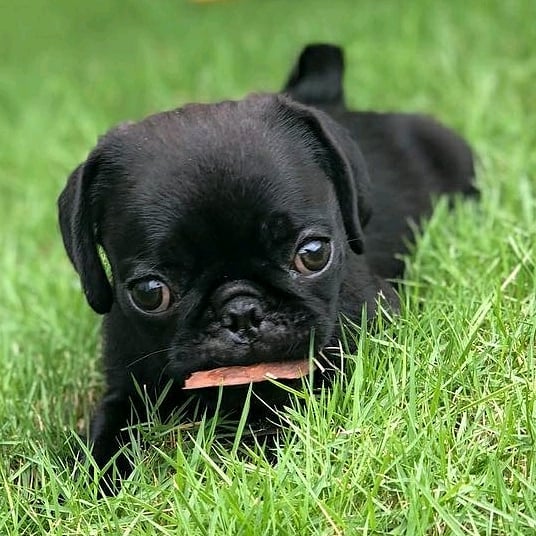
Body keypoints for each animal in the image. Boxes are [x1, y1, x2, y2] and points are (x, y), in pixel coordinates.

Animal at [57, 45, 478, 482]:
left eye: (313, 254)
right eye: (150, 293)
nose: (242, 311)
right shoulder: (126, 384)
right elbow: (109, 434)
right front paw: (94, 481)